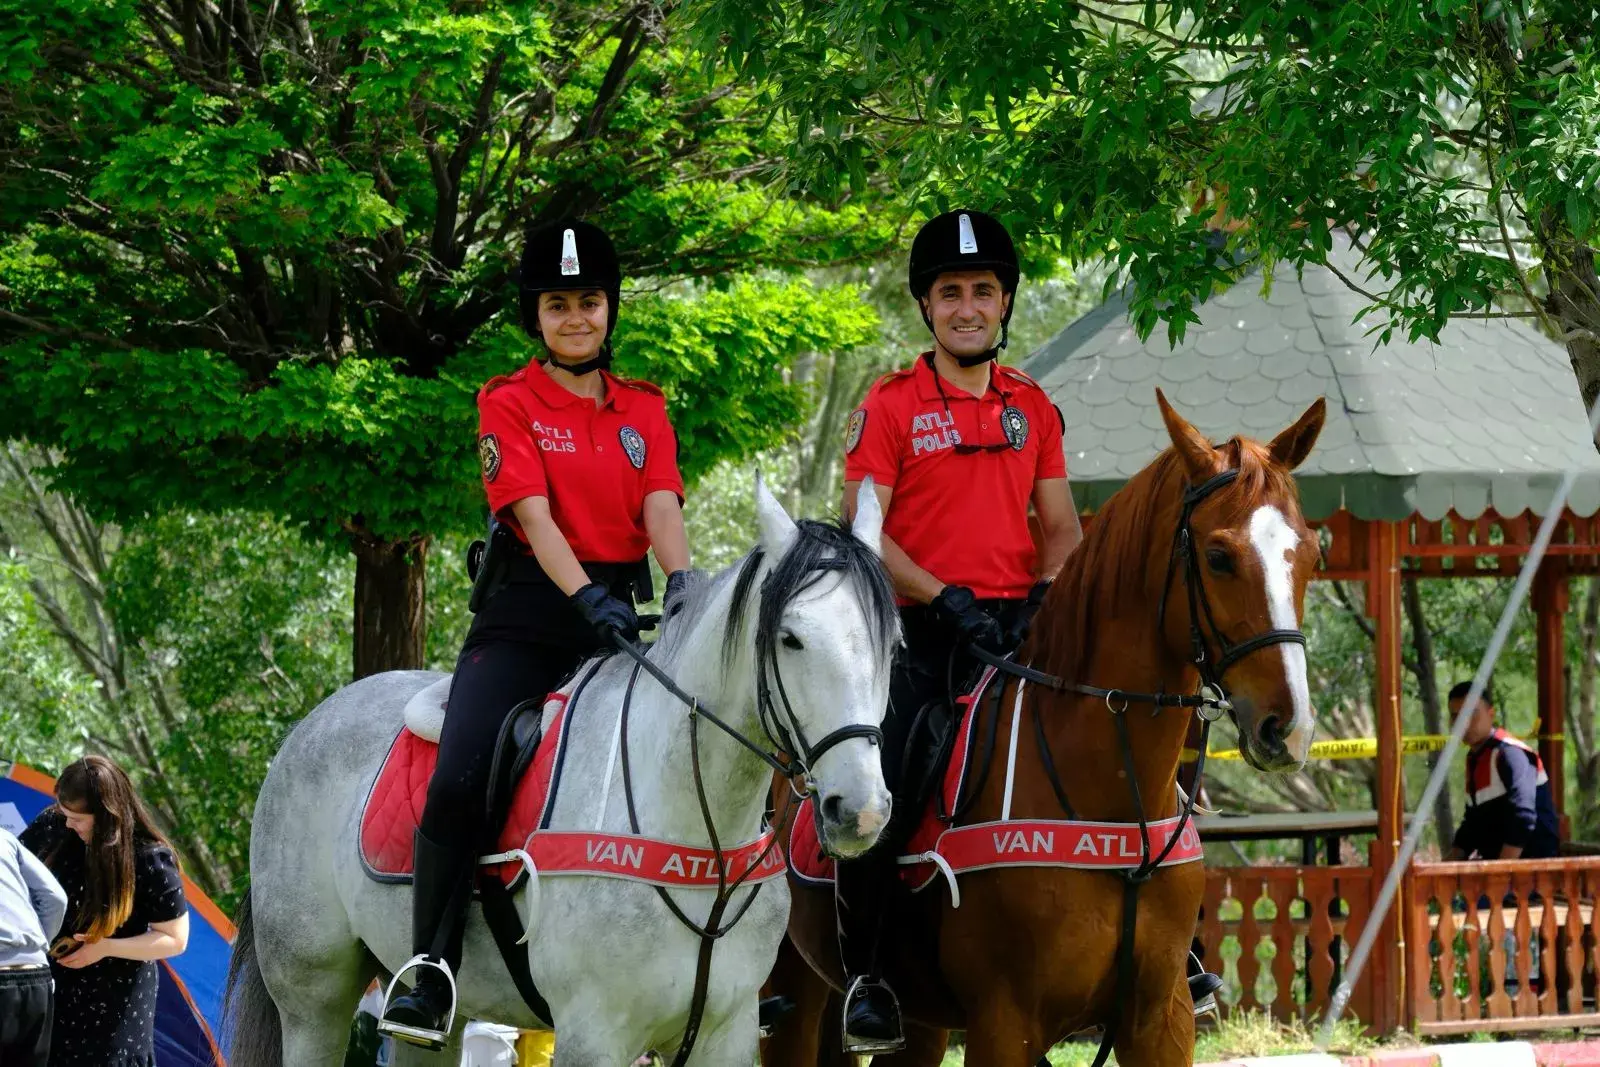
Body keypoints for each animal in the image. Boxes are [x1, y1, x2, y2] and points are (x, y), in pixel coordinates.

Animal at [225, 483, 902, 1067]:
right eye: (791, 638)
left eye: (893, 645)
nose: (860, 811)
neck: (696, 834)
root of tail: (308, 726)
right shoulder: (593, 1035)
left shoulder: (726, 1036)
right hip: (313, 998)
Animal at [761, 391, 1324, 1067]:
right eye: (1218, 557)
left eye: (1312, 555)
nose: (1288, 728)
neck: (1111, 799)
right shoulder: (1006, 1025)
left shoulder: (1161, 1019)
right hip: (792, 997)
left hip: (918, 1024)